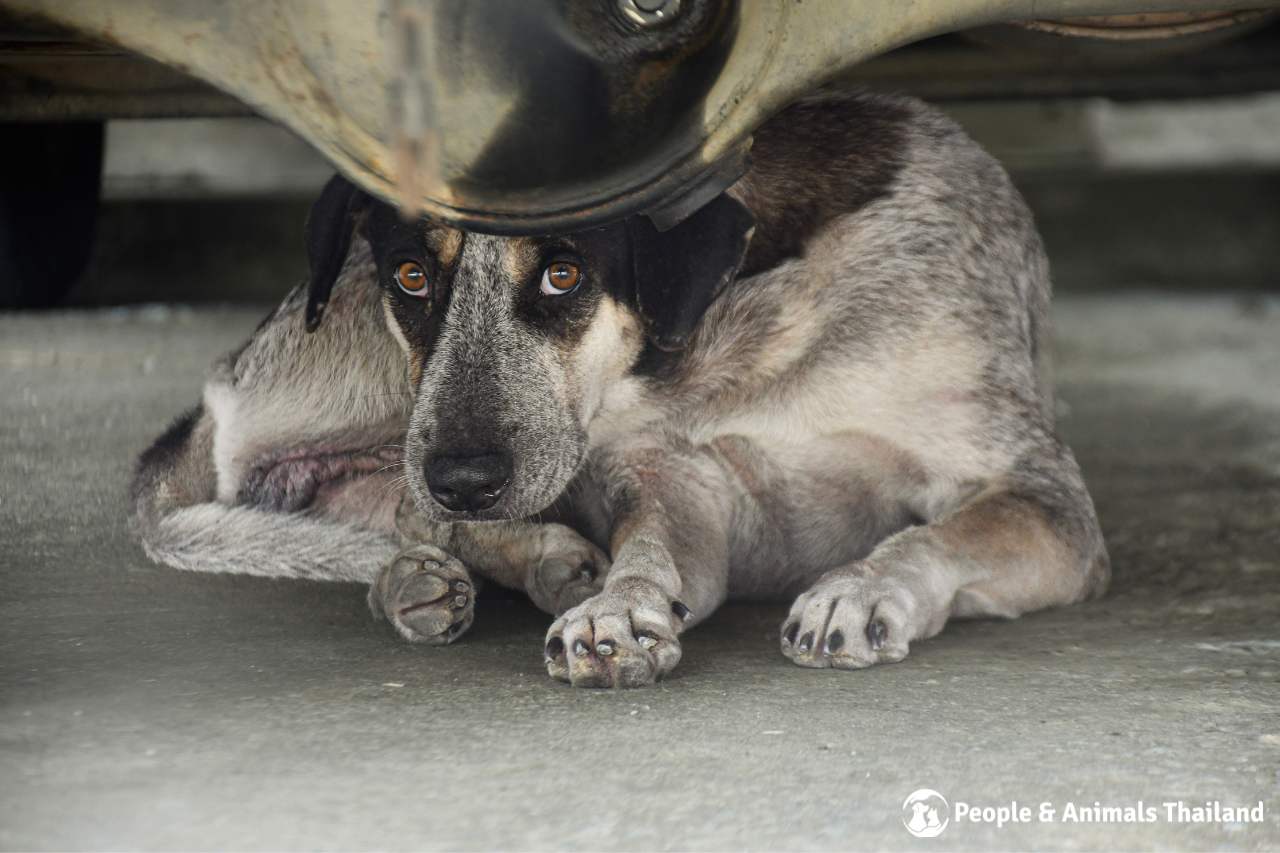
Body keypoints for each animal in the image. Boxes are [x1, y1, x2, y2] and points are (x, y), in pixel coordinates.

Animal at [132, 89, 1111, 686]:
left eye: (564, 274)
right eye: (411, 276)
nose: (464, 476)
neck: (733, 347)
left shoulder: (1046, 501)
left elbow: (938, 534)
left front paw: (861, 589)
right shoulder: (682, 487)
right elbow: (650, 551)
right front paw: (617, 608)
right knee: (405, 507)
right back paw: (481, 572)